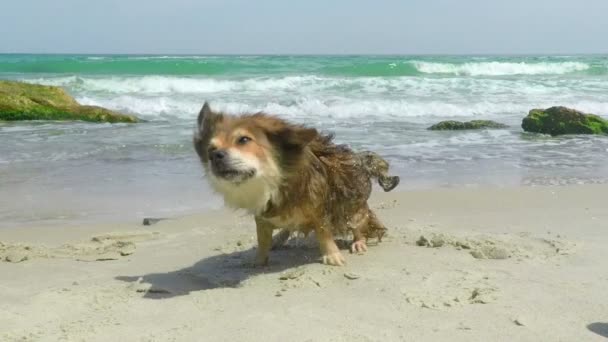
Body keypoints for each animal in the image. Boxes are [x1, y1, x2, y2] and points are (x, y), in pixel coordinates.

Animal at [195, 103, 400, 266]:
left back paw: (358, 242)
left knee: (359, 224)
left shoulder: (320, 212)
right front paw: (259, 260)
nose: (215, 156)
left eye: (244, 139)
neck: (275, 184)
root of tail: (360, 159)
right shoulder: (262, 216)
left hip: (353, 205)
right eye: (210, 149)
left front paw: (332, 256)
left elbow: (324, 234)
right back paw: (279, 238)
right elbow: (262, 240)